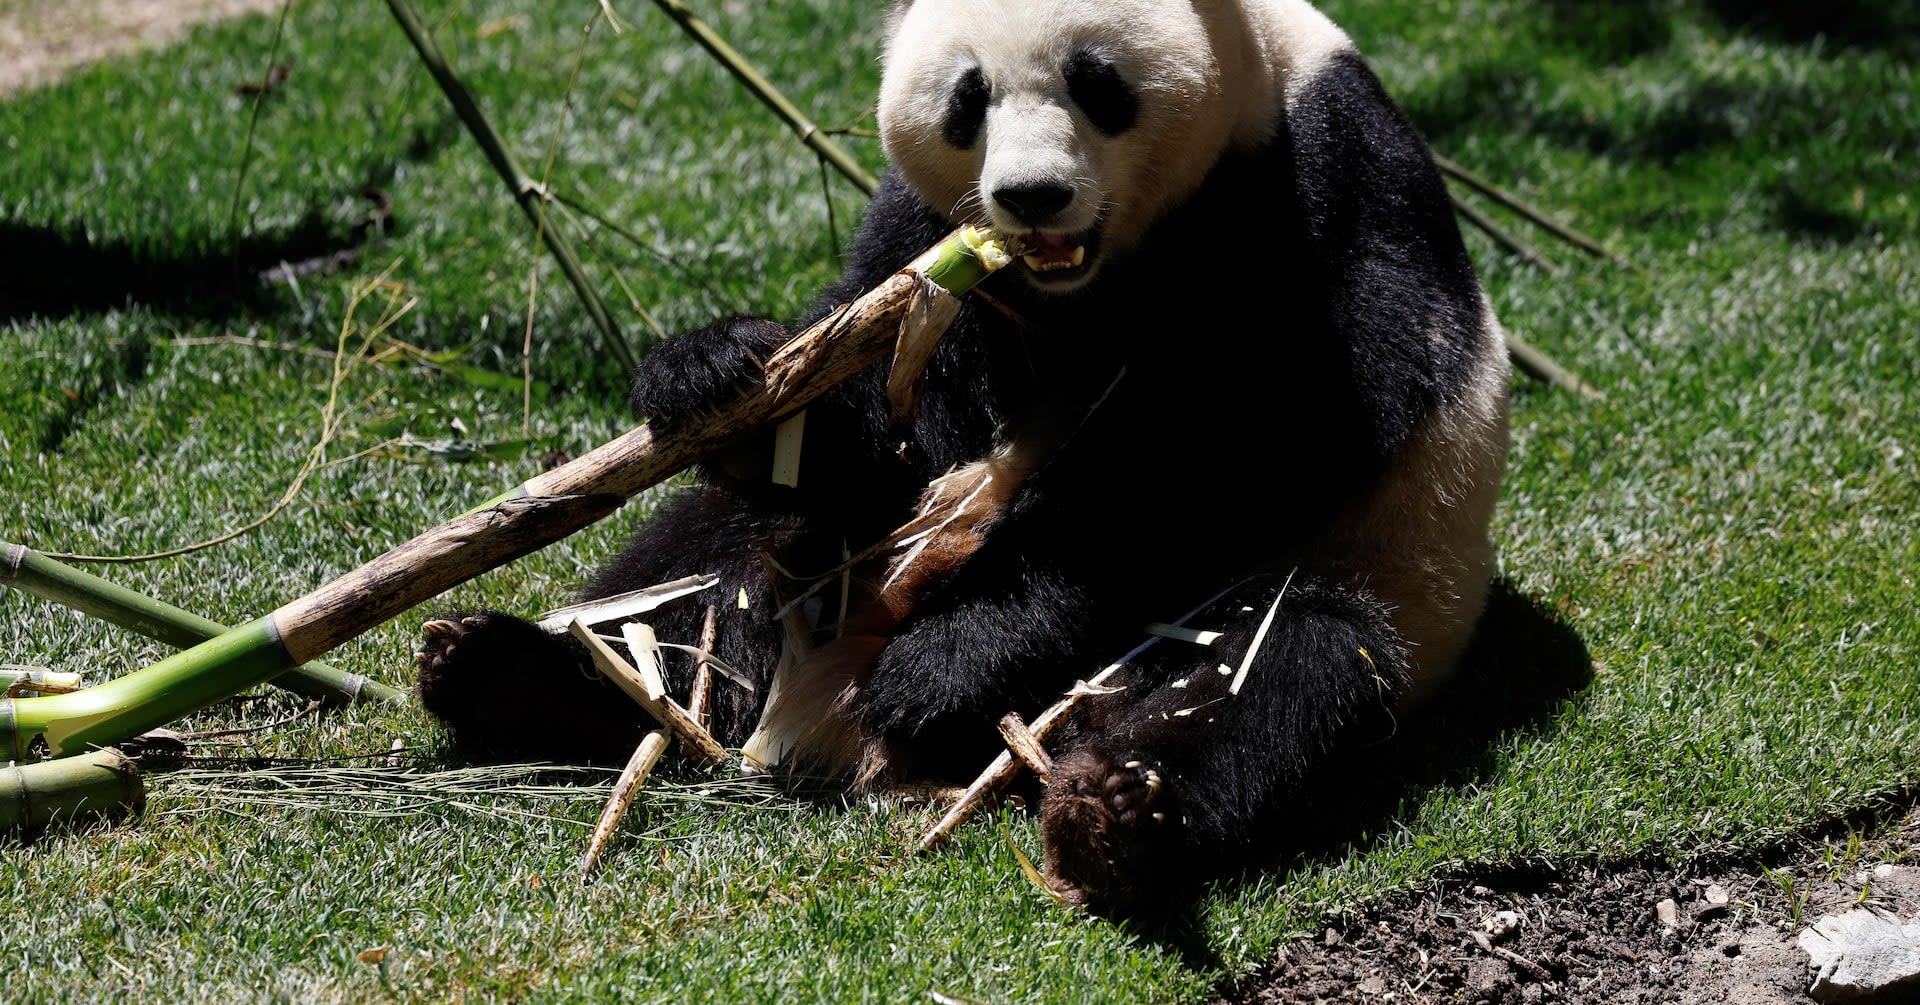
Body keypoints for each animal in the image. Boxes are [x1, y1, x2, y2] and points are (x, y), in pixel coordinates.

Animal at [412, 0, 1505, 914]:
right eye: (967, 99)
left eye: (1097, 82)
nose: (1033, 197)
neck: (1085, 278)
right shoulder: (936, 237)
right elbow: (891, 415)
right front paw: (723, 373)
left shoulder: (1314, 180)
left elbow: (1247, 448)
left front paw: (948, 660)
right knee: (699, 568)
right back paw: (510, 673)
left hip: (1355, 583)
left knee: (1282, 666)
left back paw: (1113, 808)